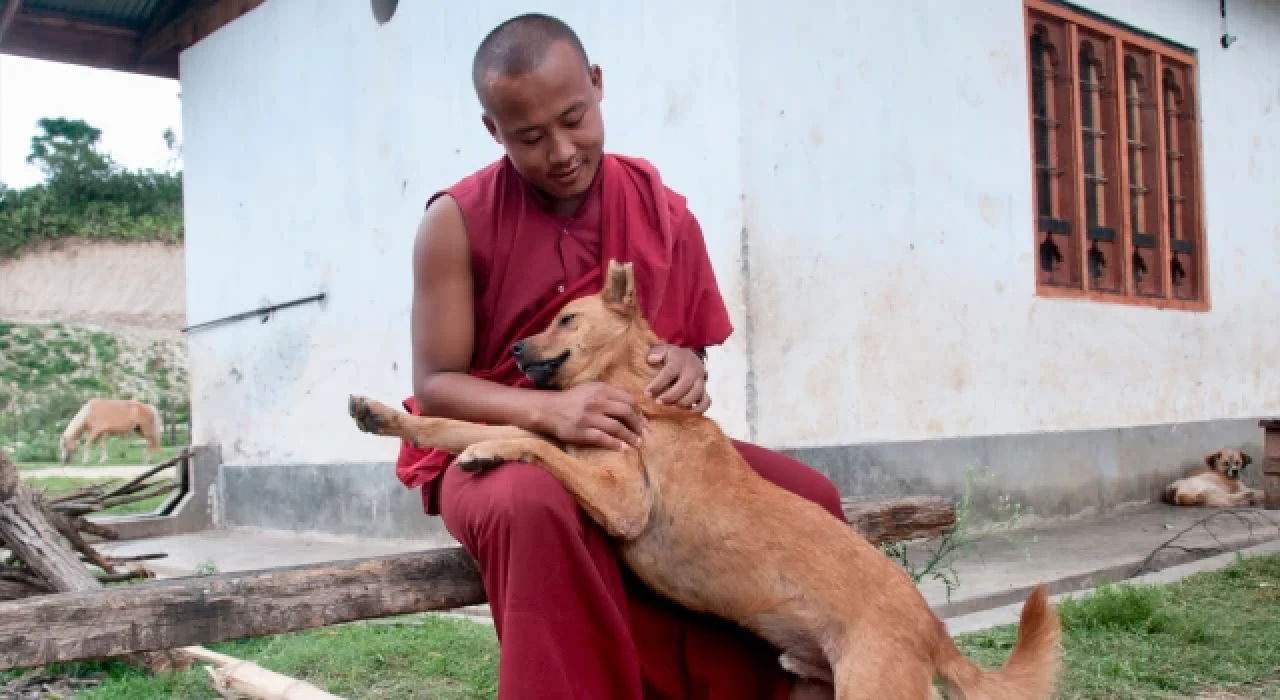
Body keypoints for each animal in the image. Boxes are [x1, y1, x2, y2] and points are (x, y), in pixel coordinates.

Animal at [348, 259, 1059, 696]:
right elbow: (461, 422)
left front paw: (486, 452)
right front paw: (387, 416)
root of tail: (932, 628)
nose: (516, 350)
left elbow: (519, 436)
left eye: (566, 318)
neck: (637, 393)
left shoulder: (622, 497)